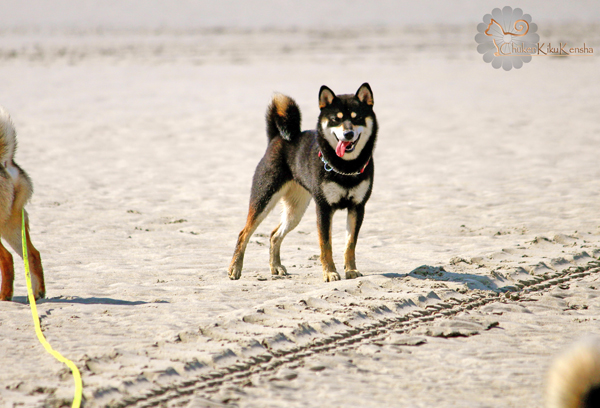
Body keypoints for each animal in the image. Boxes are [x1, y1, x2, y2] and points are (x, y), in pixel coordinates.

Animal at [229, 82, 376, 280]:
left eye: (357, 117)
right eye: (335, 119)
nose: (348, 134)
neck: (345, 167)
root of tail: (277, 138)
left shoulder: (357, 207)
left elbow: (350, 244)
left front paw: (351, 270)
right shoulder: (323, 208)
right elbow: (326, 245)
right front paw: (330, 272)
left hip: (295, 211)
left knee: (274, 234)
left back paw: (276, 266)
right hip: (264, 199)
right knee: (243, 233)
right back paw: (235, 268)